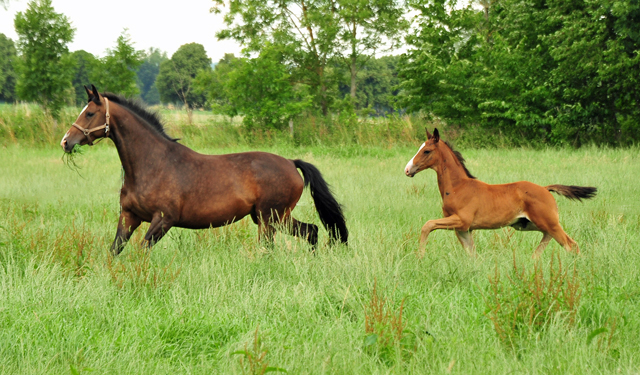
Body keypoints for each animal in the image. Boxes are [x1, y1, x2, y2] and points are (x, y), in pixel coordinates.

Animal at [404, 129, 596, 258]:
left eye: (426, 150)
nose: (407, 169)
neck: (458, 187)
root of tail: (545, 188)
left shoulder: (461, 220)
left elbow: (427, 225)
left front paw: (420, 257)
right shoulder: (464, 229)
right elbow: (471, 254)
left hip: (548, 222)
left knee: (571, 245)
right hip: (529, 224)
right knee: (551, 237)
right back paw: (534, 259)